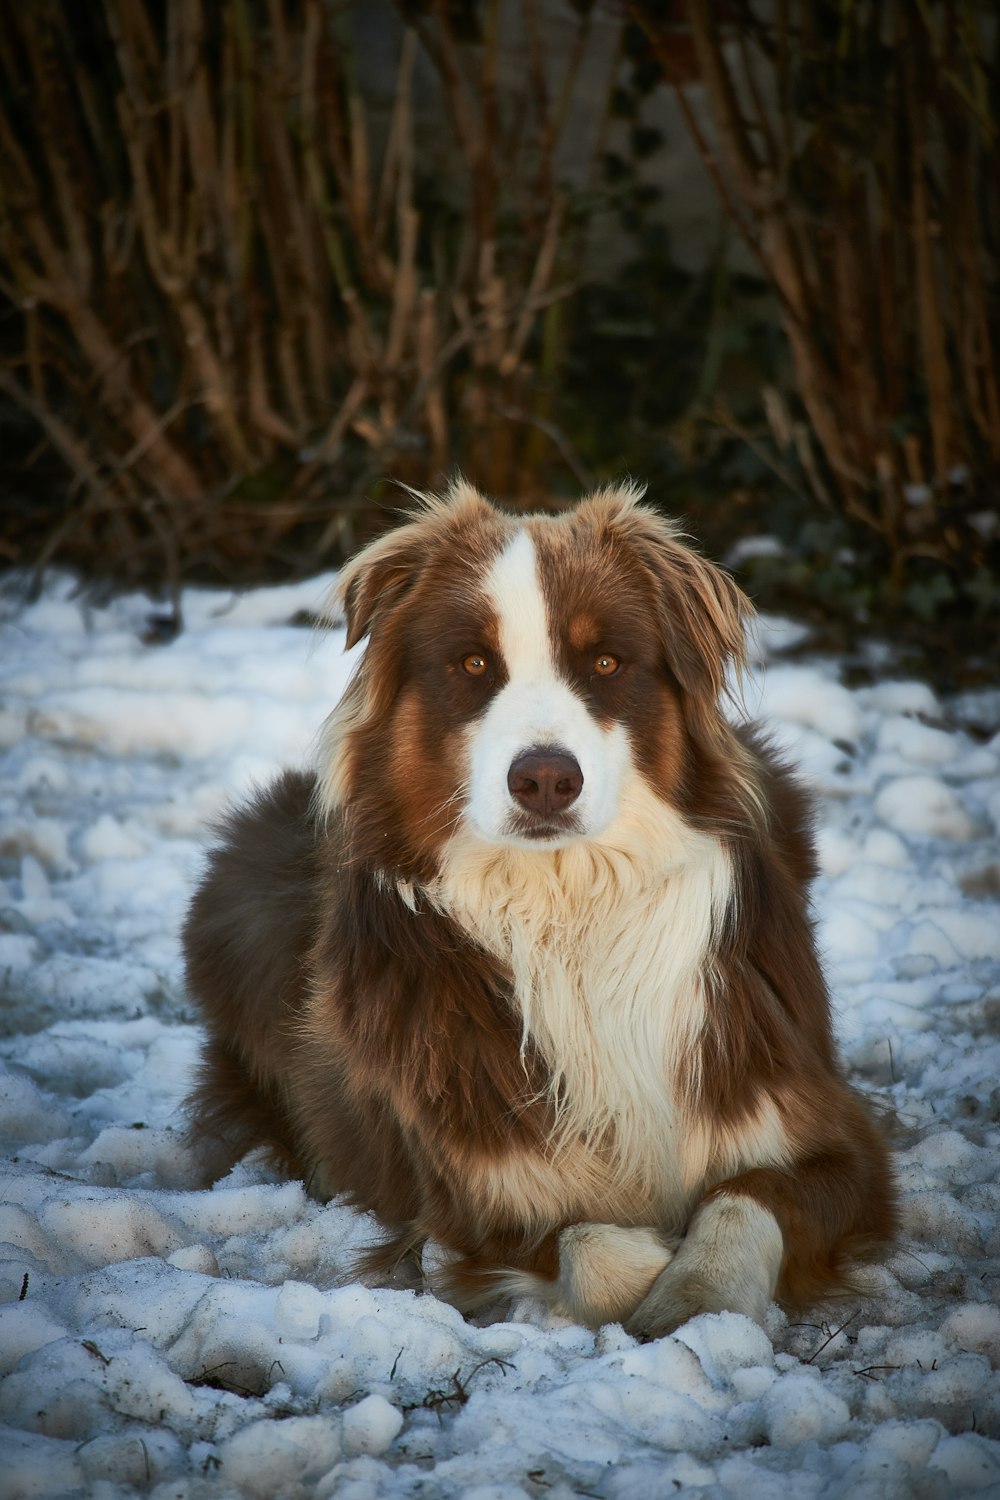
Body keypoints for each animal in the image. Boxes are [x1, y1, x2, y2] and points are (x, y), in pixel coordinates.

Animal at [183, 480, 893, 1338]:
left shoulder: (833, 1140)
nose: (547, 779)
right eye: (474, 663)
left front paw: (700, 1291)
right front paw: (654, 1261)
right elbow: (593, 1246)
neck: (568, 904)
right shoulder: (472, 1198)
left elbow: (743, 1198)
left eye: (607, 663)